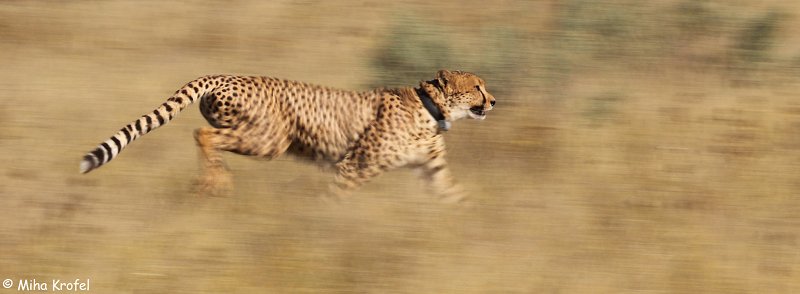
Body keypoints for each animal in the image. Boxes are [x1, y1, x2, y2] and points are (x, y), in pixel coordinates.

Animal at [81, 70, 494, 203]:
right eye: (476, 86)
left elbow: (456, 199)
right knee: (203, 133)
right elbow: (334, 198)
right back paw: (215, 183)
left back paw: (212, 182)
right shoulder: (354, 166)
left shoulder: (432, 171)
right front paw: (323, 222)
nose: (493, 100)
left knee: (207, 135)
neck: (431, 108)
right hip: (270, 139)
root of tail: (223, 75)